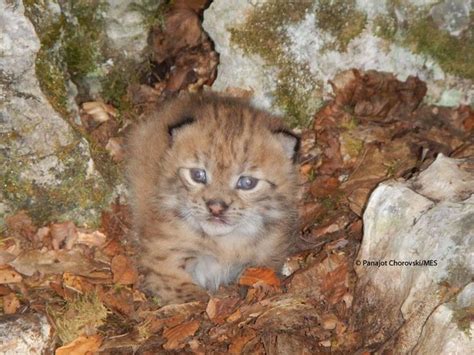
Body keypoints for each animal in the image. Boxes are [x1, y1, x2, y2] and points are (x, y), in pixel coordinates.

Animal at [128, 93, 298, 304]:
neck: (223, 243)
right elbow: (184, 291)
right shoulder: (161, 259)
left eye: (247, 182)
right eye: (198, 175)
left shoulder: (269, 253)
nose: (216, 207)